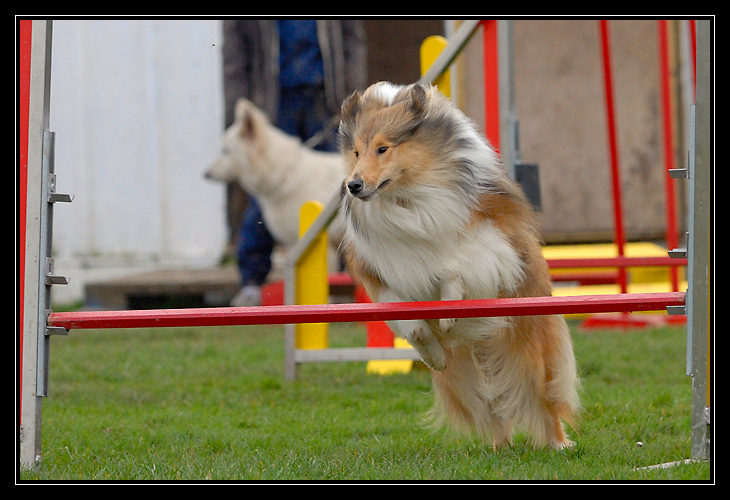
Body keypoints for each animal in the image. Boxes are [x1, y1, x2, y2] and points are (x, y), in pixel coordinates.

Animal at [336, 82, 580, 450]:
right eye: (355, 152)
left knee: (541, 396)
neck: (410, 200)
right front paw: (432, 352)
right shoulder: (382, 273)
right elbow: (411, 322)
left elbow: (456, 265)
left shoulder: (494, 241)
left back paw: (558, 443)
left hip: (527, 344)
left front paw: (449, 308)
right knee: (491, 405)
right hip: (467, 373)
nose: (354, 185)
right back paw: (500, 446)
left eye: (382, 148)